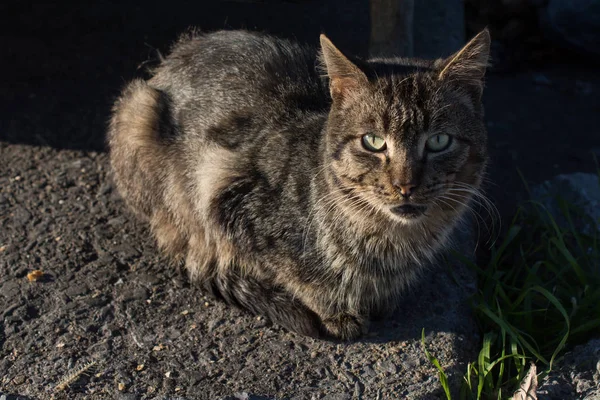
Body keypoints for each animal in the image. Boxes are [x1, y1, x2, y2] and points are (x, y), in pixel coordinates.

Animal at [109, 28, 492, 340]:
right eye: (373, 142)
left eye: (439, 141)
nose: (405, 185)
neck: (388, 242)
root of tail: (171, 57)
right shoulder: (224, 194)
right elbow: (292, 273)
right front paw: (335, 311)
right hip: (138, 115)